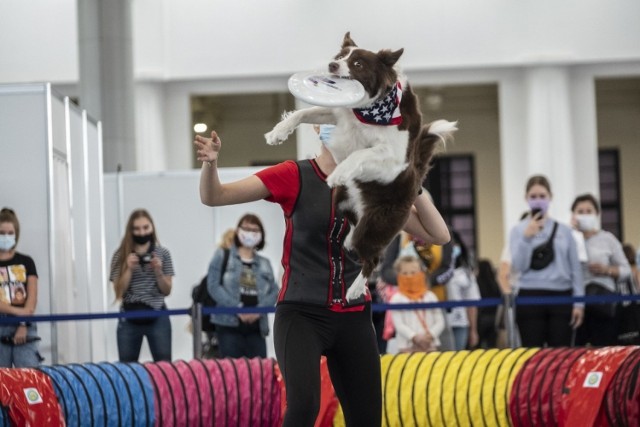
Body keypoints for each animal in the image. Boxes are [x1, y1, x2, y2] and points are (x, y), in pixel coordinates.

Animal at [268, 32, 458, 300]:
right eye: (339, 57)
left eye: (357, 64)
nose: (332, 66)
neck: (369, 108)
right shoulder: (337, 114)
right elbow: (303, 112)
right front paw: (278, 133)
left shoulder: (392, 156)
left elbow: (359, 154)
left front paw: (338, 171)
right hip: (341, 199)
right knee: (352, 227)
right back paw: (348, 240)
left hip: (377, 224)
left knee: (374, 258)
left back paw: (356, 288)